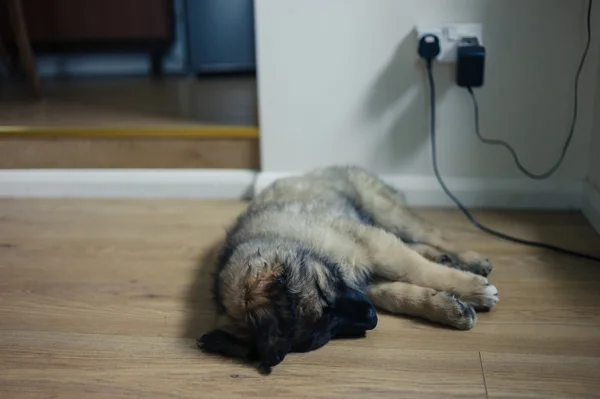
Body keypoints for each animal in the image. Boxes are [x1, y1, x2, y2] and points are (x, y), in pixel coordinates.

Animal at [199, 164, 500, 374]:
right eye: (325, 334)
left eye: (323, 291)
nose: (373, 319)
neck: (286, 241)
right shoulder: (366, 281)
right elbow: (401, 294)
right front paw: (449, 308)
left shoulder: (372, 246)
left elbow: (416, 270)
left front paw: (474, 290)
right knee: (418, 244)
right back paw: (445, 258)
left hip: (387, 213)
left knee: (433, 235)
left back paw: (471, 259)